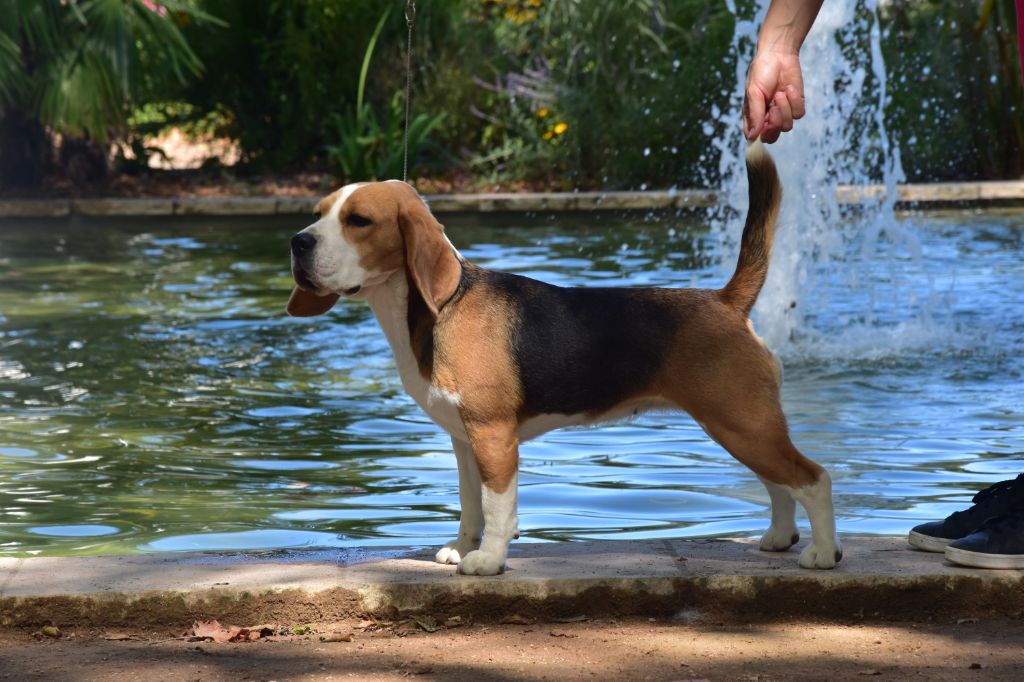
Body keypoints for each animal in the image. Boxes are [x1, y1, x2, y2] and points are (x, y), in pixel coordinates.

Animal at [286, 143, 839, 573]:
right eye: (317, 212)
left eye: (359, 221)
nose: (297, 242)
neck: (435, 308)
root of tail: (726, 300)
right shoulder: (463, 440)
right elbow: (469, 503)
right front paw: (461, 548)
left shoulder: (492, 435)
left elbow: (498, 506)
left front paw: (487, 561)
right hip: (742, 427)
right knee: (780, 483)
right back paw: (780, 538)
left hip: (742, 423)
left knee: (812, 478)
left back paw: (823, 552)